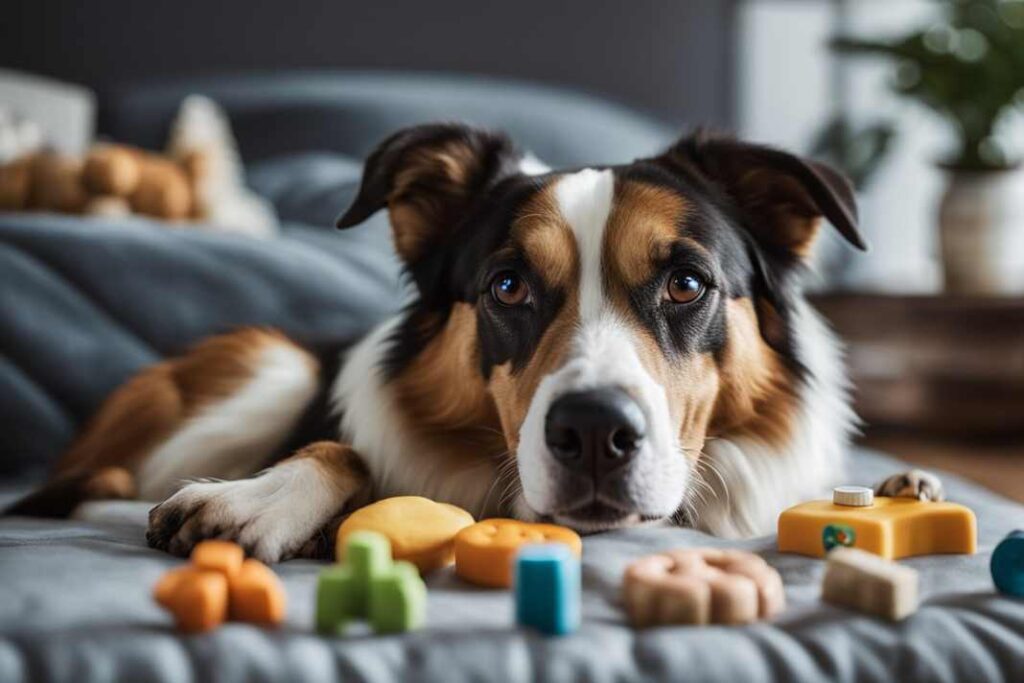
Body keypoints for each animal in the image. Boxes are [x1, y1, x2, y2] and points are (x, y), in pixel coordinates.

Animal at [8, 122, 942, 561]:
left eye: (686, 283)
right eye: (507, 286)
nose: (594, 433)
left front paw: (906, 485)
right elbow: (344, 449)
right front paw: (260, 499)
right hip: (267, 364)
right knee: (93, 489)